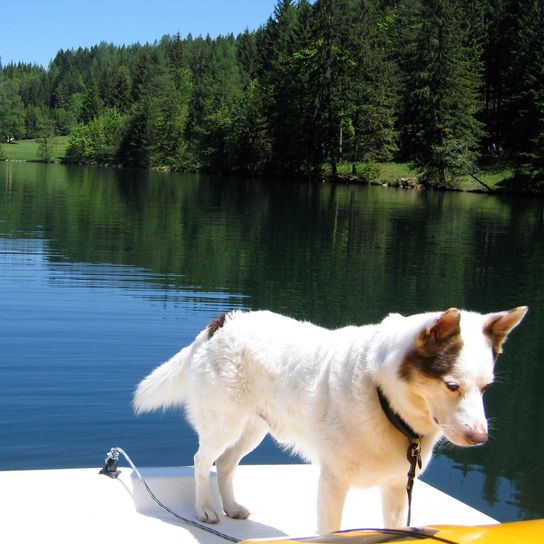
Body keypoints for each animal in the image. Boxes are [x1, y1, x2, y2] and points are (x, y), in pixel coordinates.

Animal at [133, 308, 528, 532]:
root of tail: (222, 322)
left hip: (255, 426)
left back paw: (230, 506)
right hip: (224, 421)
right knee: (203, 460)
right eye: (452, 386)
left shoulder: (397, 487)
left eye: (486, 387)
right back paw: (206, 509)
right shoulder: (334, 482)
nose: (480, 438)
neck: (383, 395)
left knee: (227, 464)